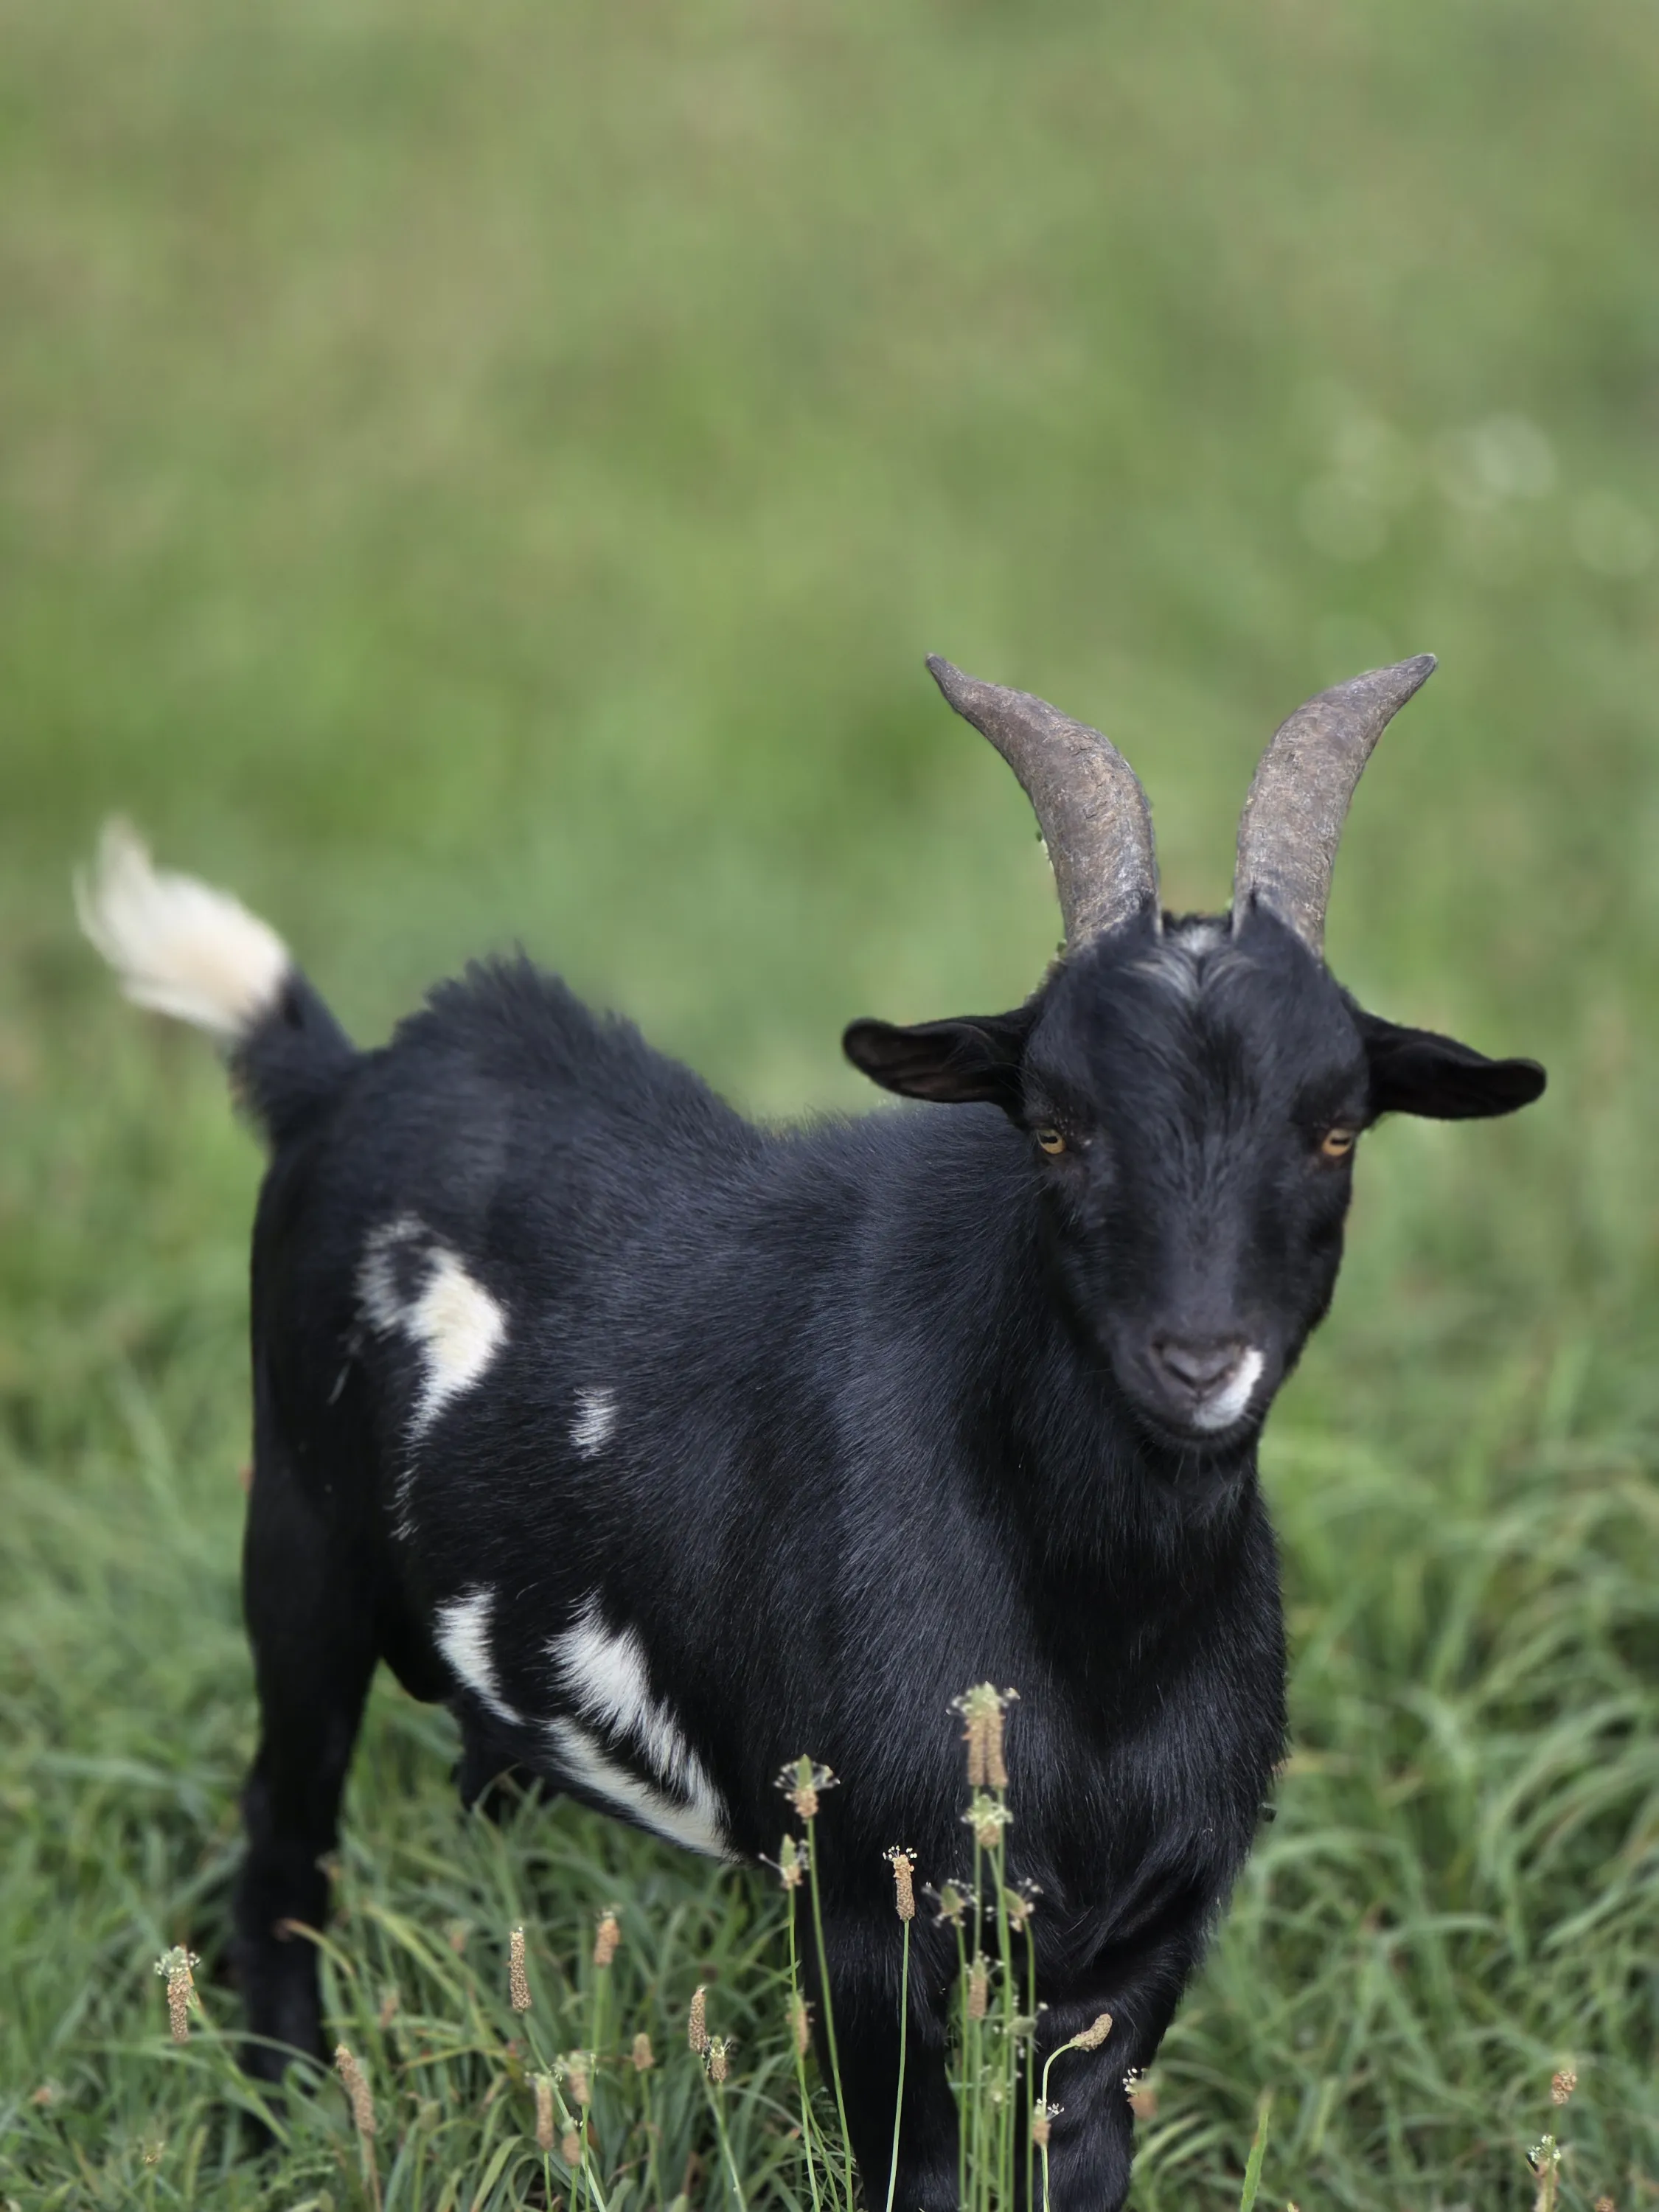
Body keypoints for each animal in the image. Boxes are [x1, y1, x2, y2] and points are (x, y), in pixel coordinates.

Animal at [79, 653, 1544, 2210]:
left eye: (1337, 1129)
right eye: (1054, 1125)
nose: (1200, 1360)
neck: (1100, 1636)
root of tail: (346, 1076)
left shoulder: (1146, 1938)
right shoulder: (862, 1902)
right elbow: (917, 2165)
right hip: (295, 1540)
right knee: (283, 1832)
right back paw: (280, 2112)